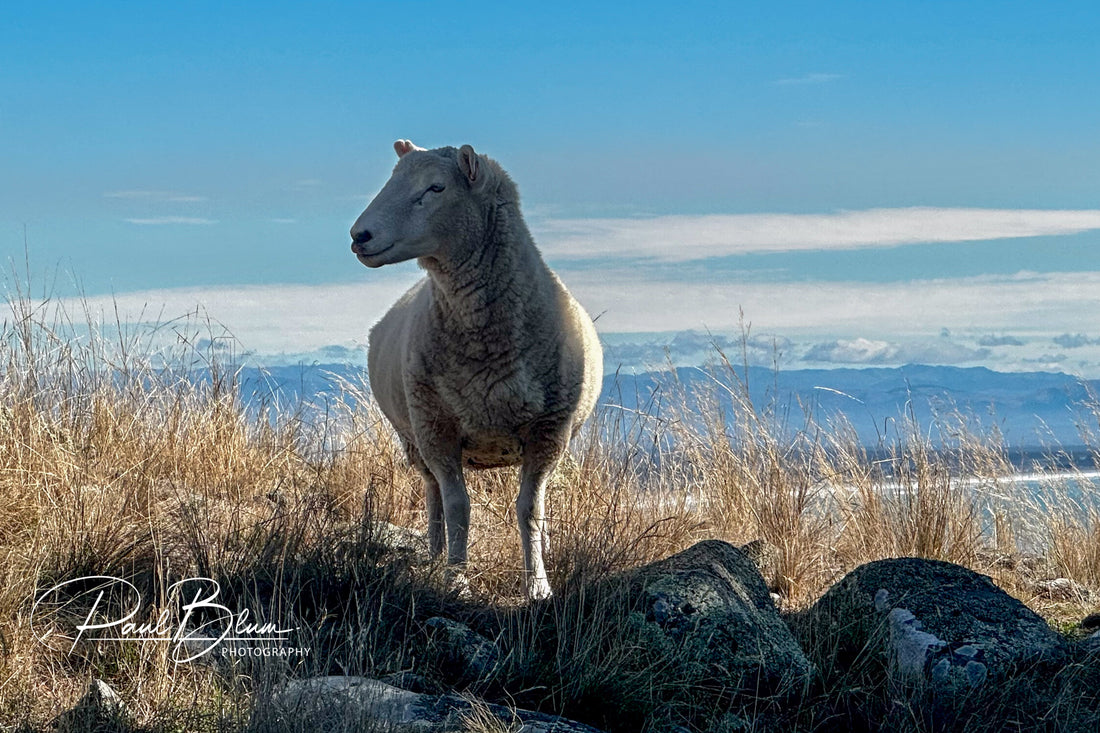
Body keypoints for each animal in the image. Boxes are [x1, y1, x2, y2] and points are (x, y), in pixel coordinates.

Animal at [347, 139, 602, 598]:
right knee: (432, 495)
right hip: (414, 438)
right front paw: (456, 580)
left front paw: (538, 585)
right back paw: (434, 556)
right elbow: (457, 507)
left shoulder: (548, 433)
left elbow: (530, 509)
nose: (360, 236)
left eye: (436, 187)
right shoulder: (437, 430)